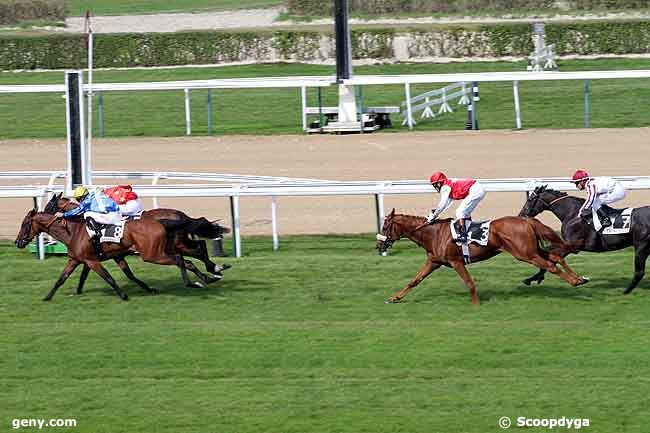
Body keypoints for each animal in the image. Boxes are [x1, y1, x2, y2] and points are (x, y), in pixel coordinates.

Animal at [372, 209, 584, 304]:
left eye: (385, 226)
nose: (379, 245)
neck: (433, 233)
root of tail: (527, 220)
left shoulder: (456, 261)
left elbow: (469, 282)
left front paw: (475, 305)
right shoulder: (434, 261)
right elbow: (414, 281)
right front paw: (394, 298)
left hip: (525, 253)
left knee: (551, 265)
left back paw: (574, 282)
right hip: (532, 250)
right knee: (556, 258)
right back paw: (580, 278)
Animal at [520, 186, 648, 294]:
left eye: (530, 199)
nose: (521, 215)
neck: (572, 213)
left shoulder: (572, 246)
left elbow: (553, 259)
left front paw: (534, 278)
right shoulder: (566, 244)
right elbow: (549, 253)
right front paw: (534, 277)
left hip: (641, 246)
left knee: (639, 272)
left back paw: (626, 291)